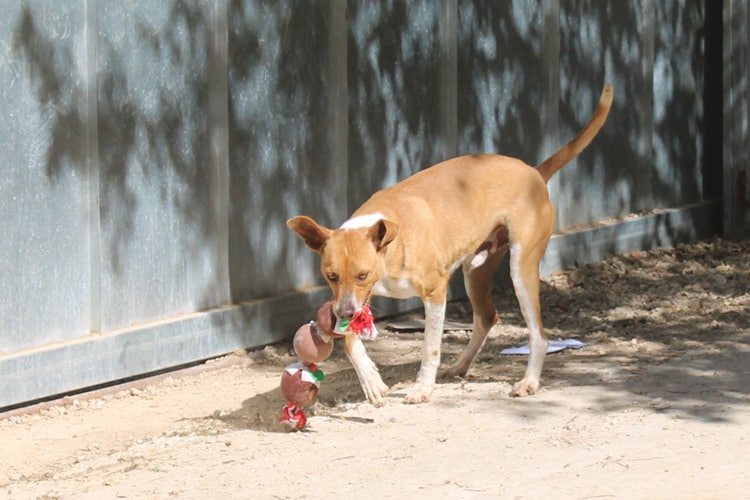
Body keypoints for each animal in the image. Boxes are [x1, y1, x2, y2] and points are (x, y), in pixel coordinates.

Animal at [288, 84, 613, 406]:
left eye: (362, 274)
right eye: (330, 276)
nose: (342, 314)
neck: (395, 238)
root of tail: (533, 171)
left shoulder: (434, 292)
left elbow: (430, 347)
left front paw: (421, 388)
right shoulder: (356, 299)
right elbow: (350, 341)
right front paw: (371, 380)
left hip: (521, 270)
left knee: (538, 335)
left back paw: (529, 382)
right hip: (475, 272)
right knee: (487, 317)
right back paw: (460, 366)